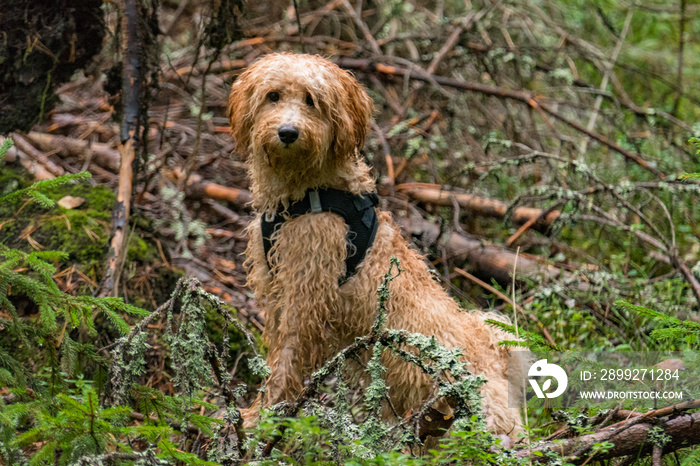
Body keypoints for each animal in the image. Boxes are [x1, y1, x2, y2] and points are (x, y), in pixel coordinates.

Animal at [227, 52, 524, 438]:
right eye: (273, 96)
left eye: (312, 100)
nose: (288, 132)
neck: (306, 195)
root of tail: (497, 363)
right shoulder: (278, 293)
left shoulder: (306, 301)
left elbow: (286, 364)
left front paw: (261, 417)